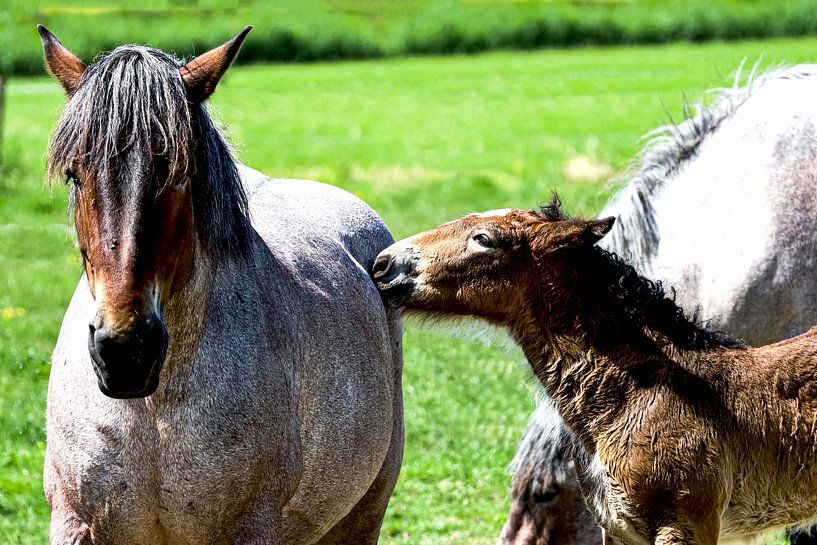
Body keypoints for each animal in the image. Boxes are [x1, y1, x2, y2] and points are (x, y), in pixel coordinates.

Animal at [40, 26, 403, 545]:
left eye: (180, 175)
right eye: (74, 174)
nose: (125, 351)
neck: (154, 414)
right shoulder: (76, 523)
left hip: (364, 512)